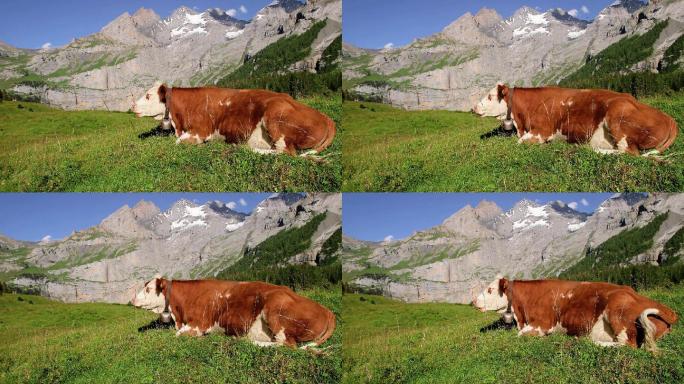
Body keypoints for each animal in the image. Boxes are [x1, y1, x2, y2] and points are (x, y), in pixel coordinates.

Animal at [131, 276, 336, 348]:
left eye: (148, 289)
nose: (131, 300)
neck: (179, 315)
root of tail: (327, 311)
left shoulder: (199, 325)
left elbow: (178, 335)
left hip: (276, 311)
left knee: (287, 345)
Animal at [132, 82, 336, 156]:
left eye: (148, 96)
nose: (132, 106)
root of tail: (327, 118)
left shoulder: (200, 131)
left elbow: (177, 143)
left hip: (275, 116)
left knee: (286, 153)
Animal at [472, 84, 676, 156]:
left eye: (490, 96)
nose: (473, 108)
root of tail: (670, 119)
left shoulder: (541, 131)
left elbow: (519, 143)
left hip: (618, 117)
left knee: (630, 153)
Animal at [476, 276, 680, 352]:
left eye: (490, 290)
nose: (473, 301)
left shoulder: (543, 323)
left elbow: (520, 335)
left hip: (618, 309)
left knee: (627, 345)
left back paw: (587, 341)